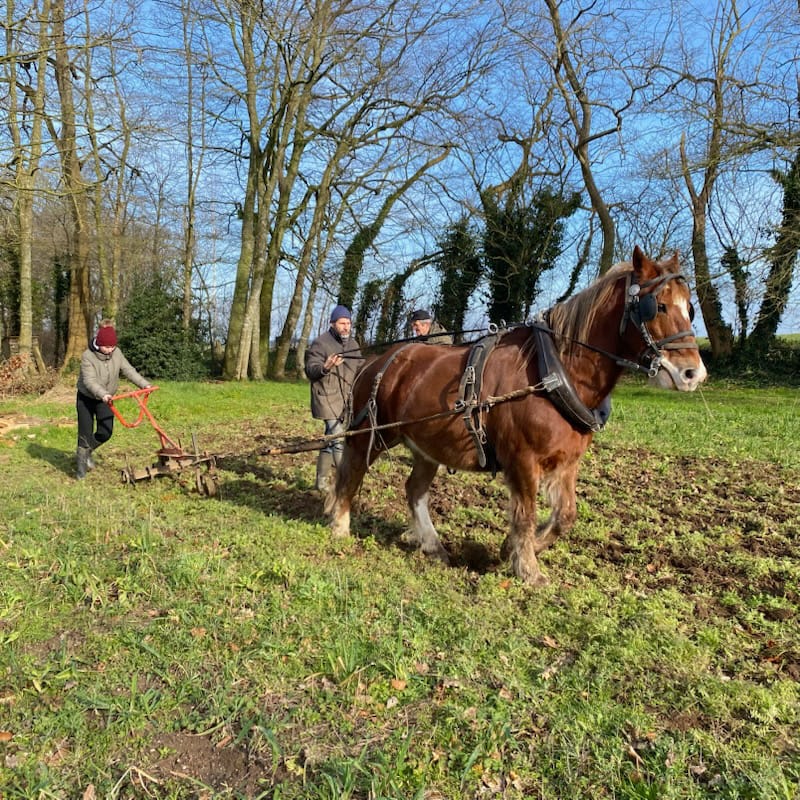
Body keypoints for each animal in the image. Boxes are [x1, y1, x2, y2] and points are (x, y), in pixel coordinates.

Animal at [328, 247, 704, 584]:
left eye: (690, 308)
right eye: (657, 306)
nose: (693, 374)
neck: (555, 371)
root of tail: (376, 361)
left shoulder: (566, 462)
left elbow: (565, 516)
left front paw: (512, 550)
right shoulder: (523, 459)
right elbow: (526, 515)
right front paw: (528, 569)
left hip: (427, 446)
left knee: (414, 490)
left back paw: (433, 546)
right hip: (370, 433)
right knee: (352, 473)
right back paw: (340, 526)